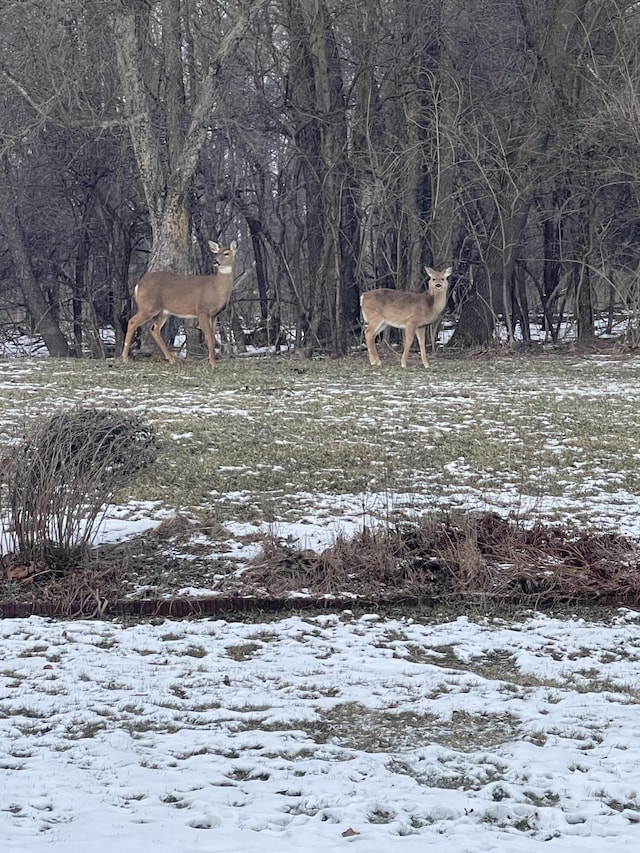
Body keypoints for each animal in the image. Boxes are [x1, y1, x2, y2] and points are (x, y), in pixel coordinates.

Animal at [122, 238, 238, 368]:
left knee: (154, 329)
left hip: (163, 312)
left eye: (226, 253)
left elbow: (213, 335)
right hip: (148, 307)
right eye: (216, 253)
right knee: (132, 321)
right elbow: (208, 334)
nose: (215, 261)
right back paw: (125, 358)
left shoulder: (214, 315)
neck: (216, 288)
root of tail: (138, 285)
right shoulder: (202, 310)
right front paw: (212, 363)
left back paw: (171, 359)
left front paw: (213, 360)